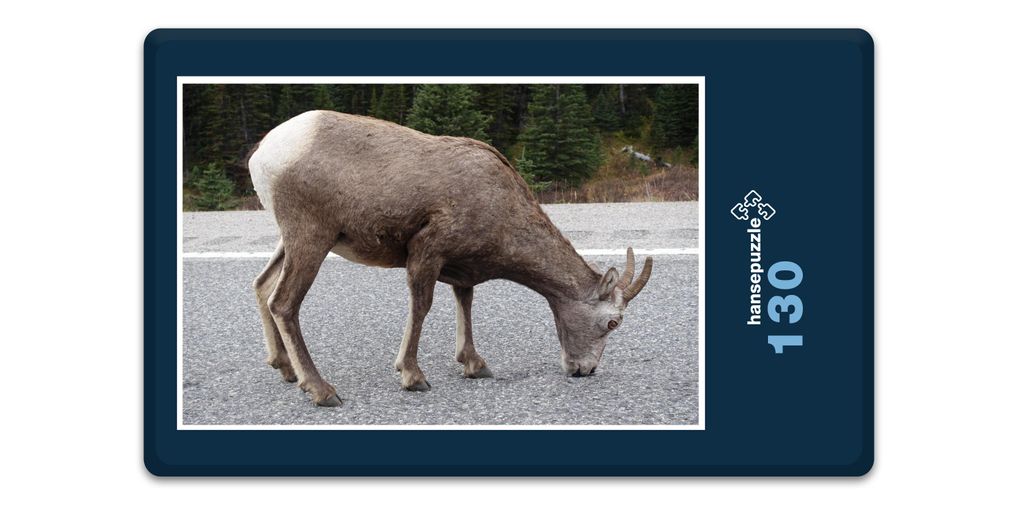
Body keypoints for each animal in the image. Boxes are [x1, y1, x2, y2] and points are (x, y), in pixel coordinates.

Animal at [247, 110, 653, 407]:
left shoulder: (461, 270)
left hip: (291, 240)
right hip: (311, 236)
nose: (585, 370)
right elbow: (421, 307)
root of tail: (264, 154)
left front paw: (475, 365)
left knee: (262, 285)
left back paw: (286, 370)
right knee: (283, 302)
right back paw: (322, 391)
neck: (503, 209)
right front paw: (413, 376)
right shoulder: (427, 251)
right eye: (613, 322)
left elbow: (465, 304)